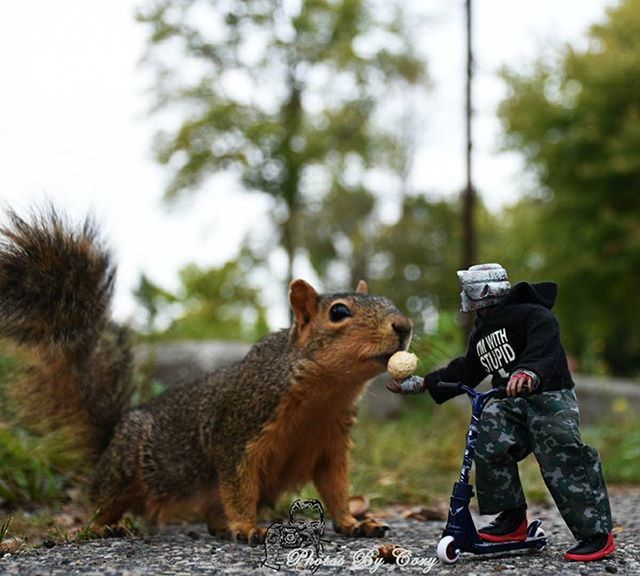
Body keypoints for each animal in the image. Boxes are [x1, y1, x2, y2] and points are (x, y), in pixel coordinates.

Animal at [0, 206, 416, 544]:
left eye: (387, 302)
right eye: (339, 312)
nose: (404, 326)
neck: (325, 393)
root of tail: (108, 442)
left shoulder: (330, 444)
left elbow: (336, 489)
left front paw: (353, 522)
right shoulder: (238, 434)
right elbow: (238, 486)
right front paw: (248, 527)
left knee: (212, 512)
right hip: (124, 467)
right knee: (101, 503)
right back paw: (105, 527)